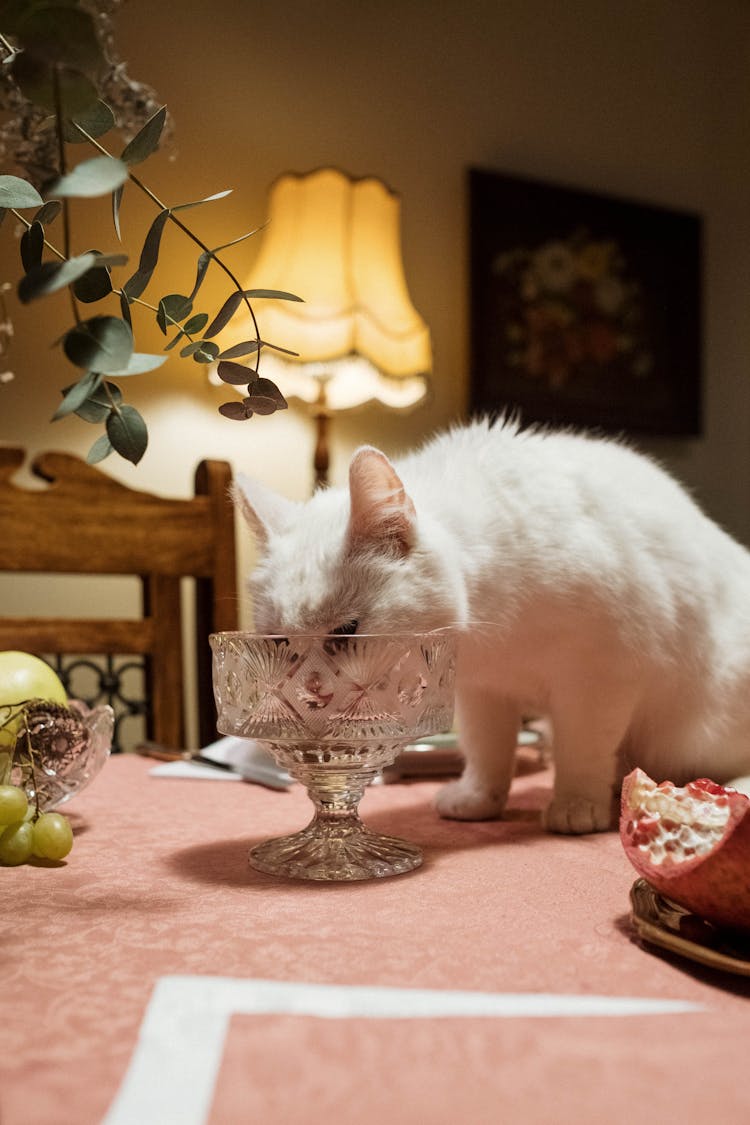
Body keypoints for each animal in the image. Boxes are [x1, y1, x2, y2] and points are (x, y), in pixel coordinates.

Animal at [236, 418, 750, 832]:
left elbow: (581, 746)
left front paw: (576, 804)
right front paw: (479, 799)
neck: (489, 636)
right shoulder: (481, 691)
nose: (312, 692)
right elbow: (487, 749)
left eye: (346, 632)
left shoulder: (600, 676)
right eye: (280, 640)